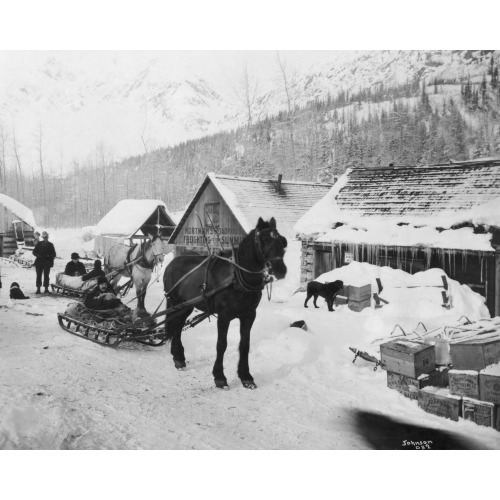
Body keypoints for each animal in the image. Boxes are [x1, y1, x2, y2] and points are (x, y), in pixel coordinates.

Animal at [164, 217, 288, 388]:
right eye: (263, 239)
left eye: (282, 241)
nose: (280, 270)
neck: (237, 278)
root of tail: (171, 264)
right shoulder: (224, 316)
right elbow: (221, 344)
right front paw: (220, 377)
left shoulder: (249, 315)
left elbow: (245, 344)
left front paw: (246, 377)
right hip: (176, 303)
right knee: (176, 327)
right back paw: (178, 359)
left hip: (186, 306)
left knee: (178, 327)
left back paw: (178, 356)